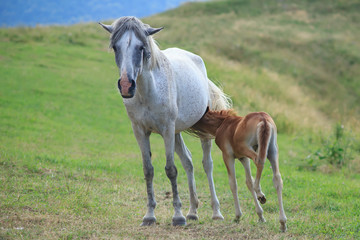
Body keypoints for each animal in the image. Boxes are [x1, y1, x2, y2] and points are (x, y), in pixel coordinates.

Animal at [99, 15, 231, 226]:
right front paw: (149, 215)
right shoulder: (140, 131)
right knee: (188, 162)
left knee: (207, 164)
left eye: (141, 47)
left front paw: (177, 216)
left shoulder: (167, 130)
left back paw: (216, 212)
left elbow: (171, 170)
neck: (148, 92)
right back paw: (192, 211)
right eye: (115, 47)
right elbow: (148, 170)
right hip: (176, 133)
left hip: (198, 134)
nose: (126, 86)